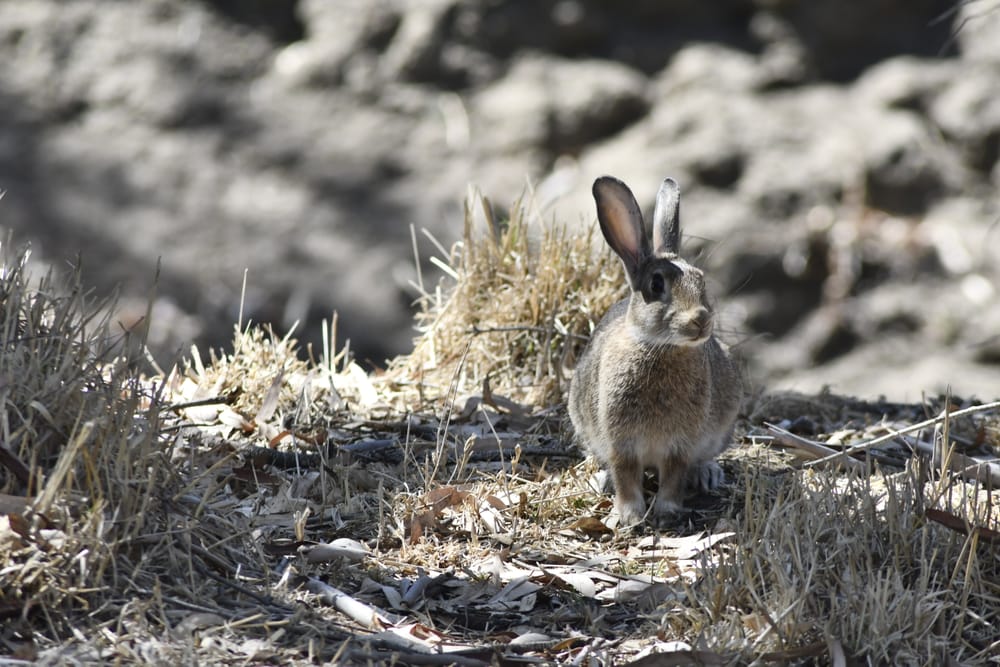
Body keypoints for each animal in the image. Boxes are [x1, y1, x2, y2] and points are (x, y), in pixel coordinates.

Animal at [568, 175, 741, 528]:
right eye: (656, 285)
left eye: (701, 281)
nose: (701, 320)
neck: (660, 349)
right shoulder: (621, 442)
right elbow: (624, 475)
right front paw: (629, 516)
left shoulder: (680, 444)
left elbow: (674, 475)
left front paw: (666, 512)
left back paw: (707, 474)